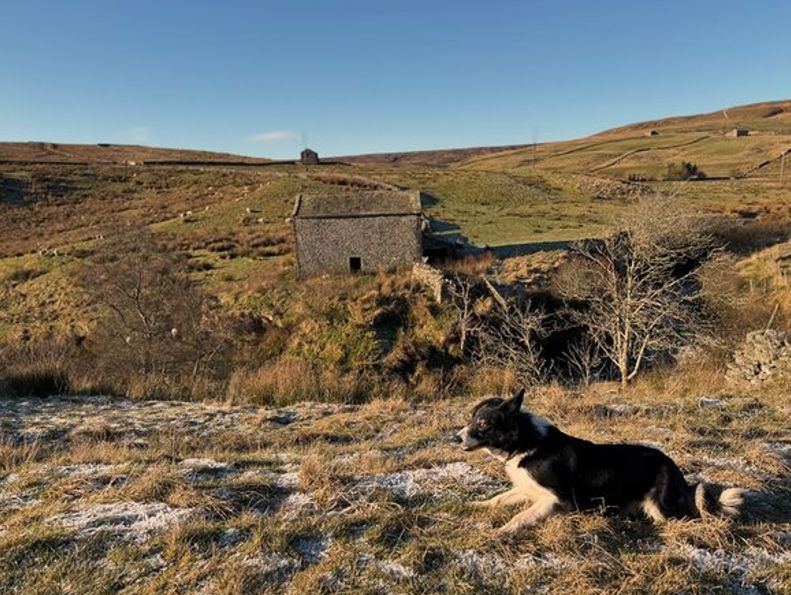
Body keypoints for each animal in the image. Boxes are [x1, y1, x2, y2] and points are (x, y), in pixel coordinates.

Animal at [454, 392, 744, 536]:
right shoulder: (526, 489)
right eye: (471, 419)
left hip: (662, 508)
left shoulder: (557, 500)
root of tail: (674, 469)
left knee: (689, 518)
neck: (524, 441)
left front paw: (505, 530)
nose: (454, 438)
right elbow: (498, 499)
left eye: (483, 424)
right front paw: (476, 505)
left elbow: (521, 515)